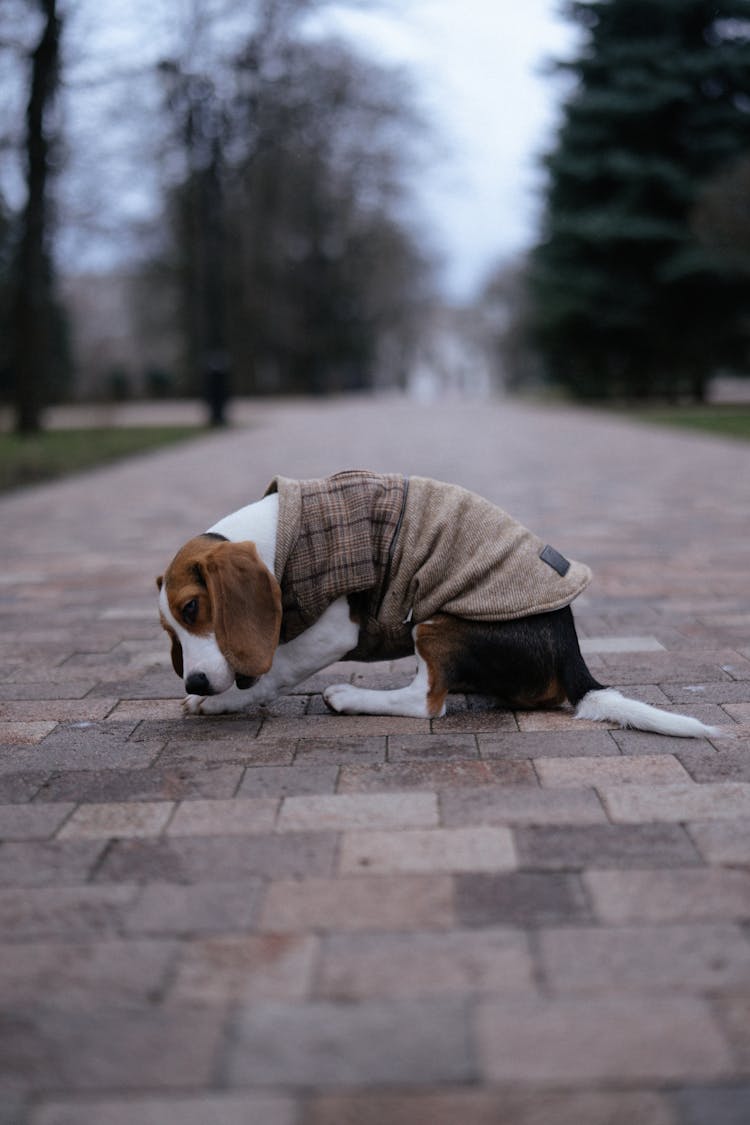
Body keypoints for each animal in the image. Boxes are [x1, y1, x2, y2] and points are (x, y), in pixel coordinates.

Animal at [158, 468, 719, 738]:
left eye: (193, 609)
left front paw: (223, 701)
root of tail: (571, 654)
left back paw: (351, 697)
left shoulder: (333, 628)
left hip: (433, 623)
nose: (195, 681)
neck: (277, 536)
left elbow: (277, 669)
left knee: (426, 702)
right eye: (170, 632)